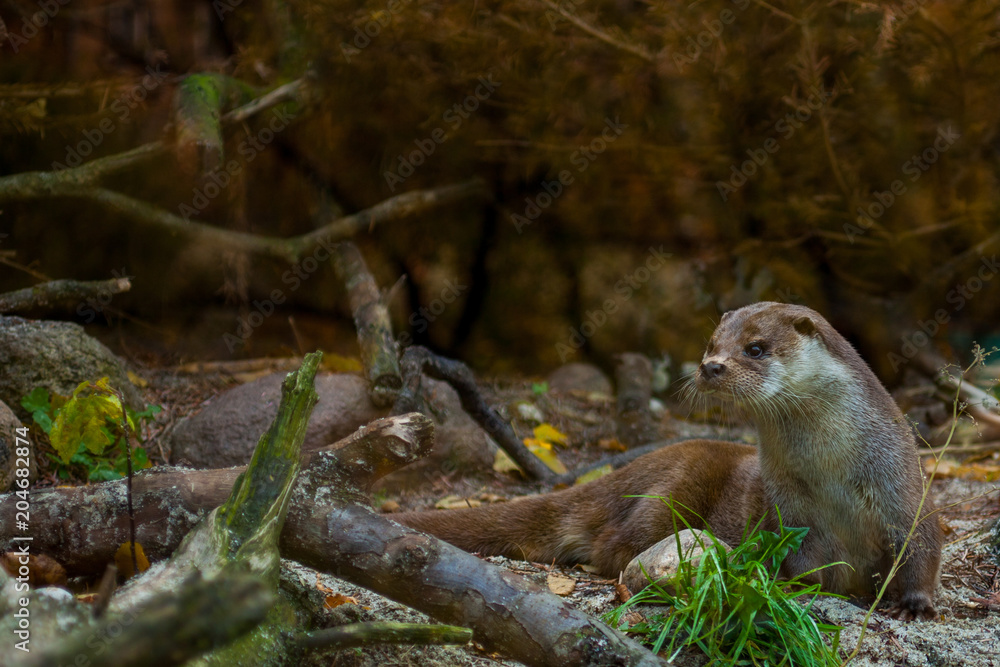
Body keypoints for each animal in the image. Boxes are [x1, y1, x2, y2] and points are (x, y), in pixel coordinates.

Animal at [394, 302, 942, 620]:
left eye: (756, 348)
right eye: (711, 345)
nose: (710, 366)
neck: (832, 476)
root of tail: (625, 472)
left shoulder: (902, 486)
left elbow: (922, 545)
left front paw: (916, 603)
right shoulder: (790, 510)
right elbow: (802, 563)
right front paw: (798, 586)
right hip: (669, 492)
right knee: (613, 549)